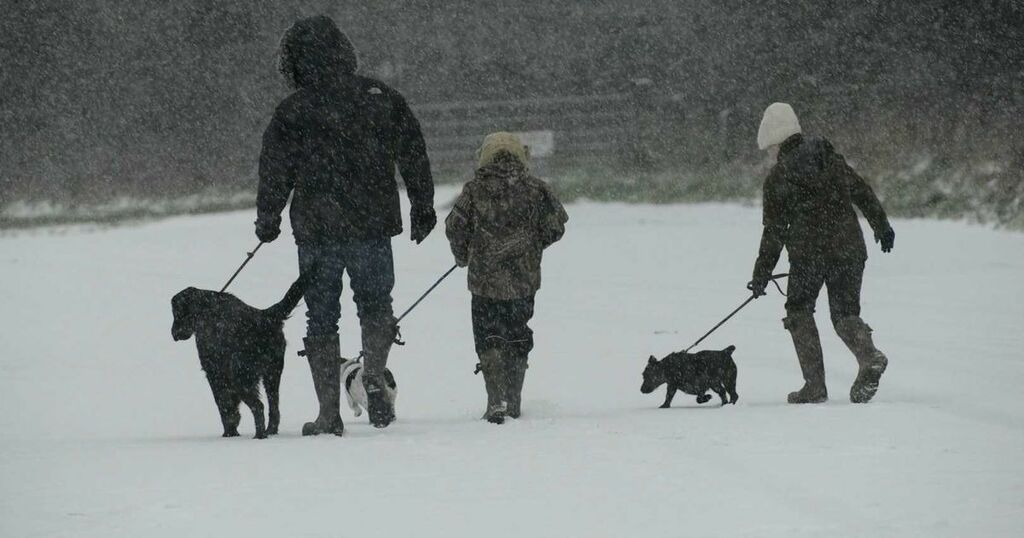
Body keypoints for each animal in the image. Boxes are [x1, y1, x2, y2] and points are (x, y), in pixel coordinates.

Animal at [171, 276, 303, 436]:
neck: (205, 309)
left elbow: (224, 406)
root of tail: (265, 316)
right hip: (272, 374)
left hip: (241, 378)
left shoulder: (215, 373)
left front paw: (230, 432)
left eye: (176, 312)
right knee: (274, 408)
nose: (173, 334)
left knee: (258, 406)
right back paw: (269, 430)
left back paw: (259, 435)